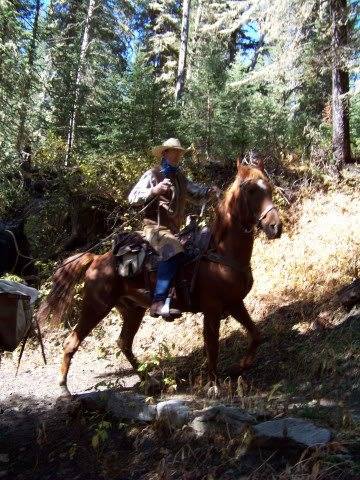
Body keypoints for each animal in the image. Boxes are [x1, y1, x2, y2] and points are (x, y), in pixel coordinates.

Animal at [38, 161, 282, 394]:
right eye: (250, 190)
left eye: (269, 188)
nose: (275, 226)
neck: (220, 252)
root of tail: (97, 258)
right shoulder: (212, 310)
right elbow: (212, 347)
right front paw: (213, 385)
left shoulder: (234, 303)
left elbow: (256, 335)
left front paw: (239, 367)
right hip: (95, 306)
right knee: (72, 342)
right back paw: (64, 388)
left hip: (132, 310)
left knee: (124, 342)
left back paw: (149, 381)